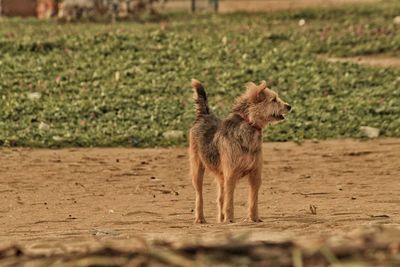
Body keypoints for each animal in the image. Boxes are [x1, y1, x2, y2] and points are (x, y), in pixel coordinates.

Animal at [188, 79, 290, 224]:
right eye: (274, 99)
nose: (289, 106)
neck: (249, 125)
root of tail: (205, 115)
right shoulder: (231, 173)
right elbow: (229, 200)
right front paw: (230, 219)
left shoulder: (255, 175)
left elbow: (253, 200)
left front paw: (254, 218)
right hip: (197, 168)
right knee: (199, 196)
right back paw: (200, 218)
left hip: (220, 174)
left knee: (220, 198)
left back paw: (221, 219)